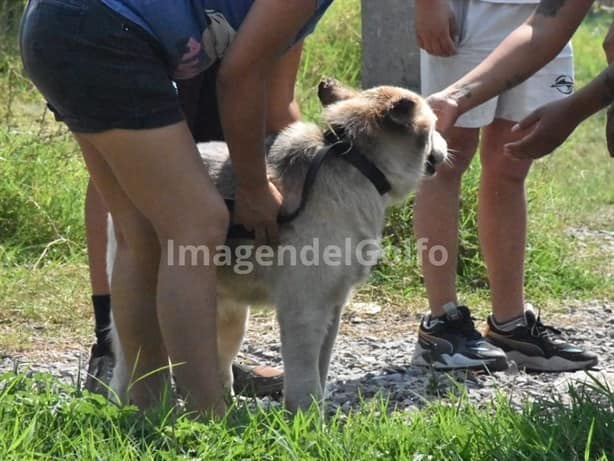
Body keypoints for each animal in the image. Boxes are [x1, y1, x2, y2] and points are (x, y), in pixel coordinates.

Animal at [108, 78, 450, 410]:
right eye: (433, 127)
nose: (447, 145)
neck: (356, 162)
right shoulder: (305, 310)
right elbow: (304, 378)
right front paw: (305, 418)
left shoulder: (333, 307)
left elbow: (321, 368)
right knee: (127, 365)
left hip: (229, 316)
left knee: (218, 365)